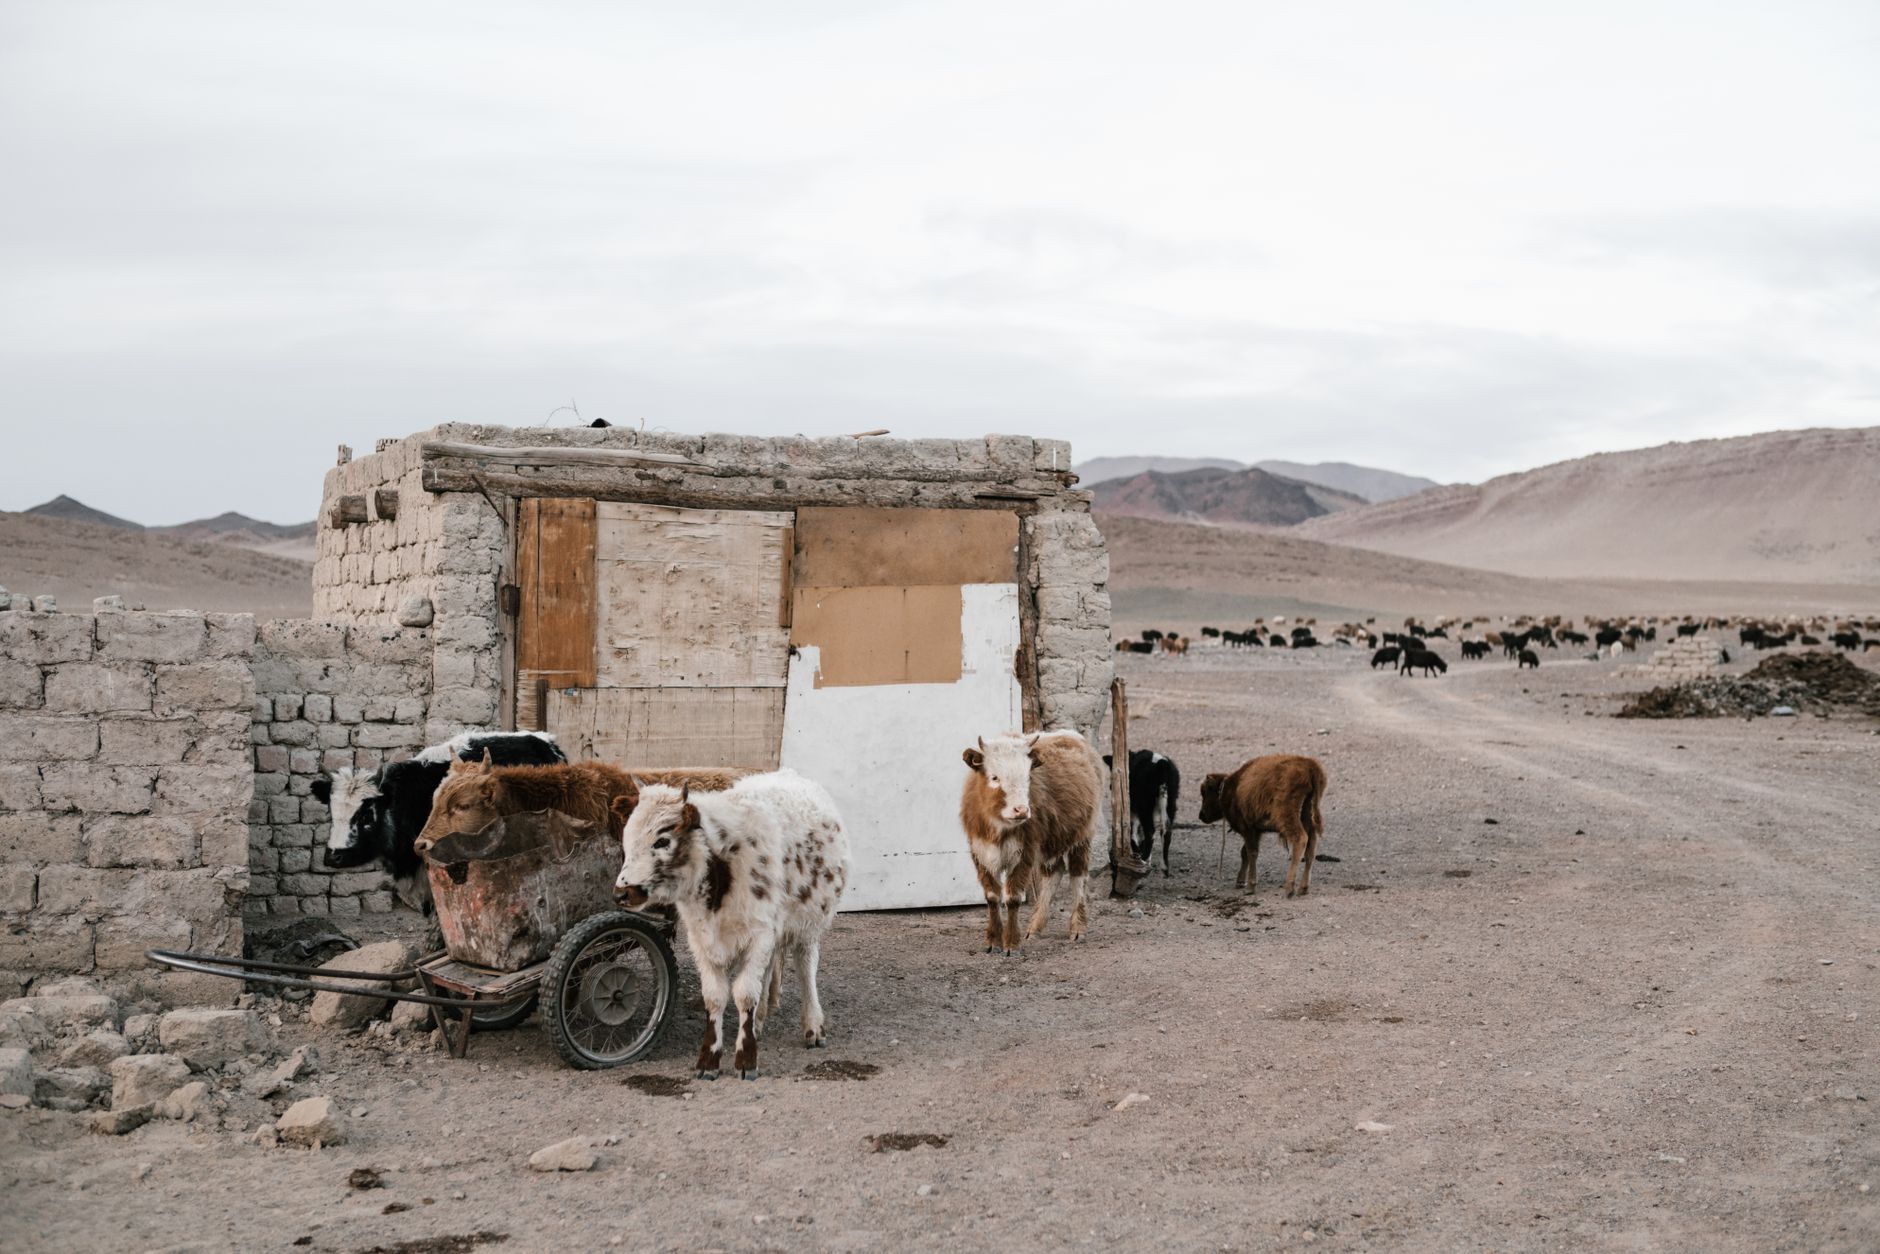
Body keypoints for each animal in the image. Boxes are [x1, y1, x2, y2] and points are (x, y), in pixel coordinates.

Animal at [615, 772, 850, 1080]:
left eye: (662, 841)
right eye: (627, 838)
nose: (621, 893)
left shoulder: (760, 934)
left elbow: (744, 993)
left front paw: (747, 1059)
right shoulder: (702, 939)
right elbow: (715, 997)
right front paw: (709, 1059)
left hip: (808, 923)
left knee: (805, 967)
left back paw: (812, 1025)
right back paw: (761, 1020)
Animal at [960, 730, 1105, 955]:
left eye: (1028, 776)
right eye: (995, 777)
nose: (1021, 810)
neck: (999, 827)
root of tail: (1070, 734)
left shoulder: (1023, 853)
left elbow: (1012, 898)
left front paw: (1011, 944)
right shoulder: (981, 853)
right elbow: (992, 896)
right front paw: (993, 941)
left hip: (1082, 836)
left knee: (1078, 876)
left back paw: (1078, 928)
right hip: (1051, 842)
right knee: (1054, 872)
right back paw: (1035, 927)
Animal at [1197, 755, 1327, 897]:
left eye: (1205, 792)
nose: (1201, 815)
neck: (1232, 787)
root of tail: (1310, 766)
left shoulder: (1248, 829)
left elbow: (1251, 853)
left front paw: (1250, 887)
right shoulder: (1256, 830)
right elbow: (1245, 853)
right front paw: (1240, 881)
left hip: (1288, 817)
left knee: (1300, 840)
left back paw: (1289, 888)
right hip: (1308, 818)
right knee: (1310, 849)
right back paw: (1303, 888)